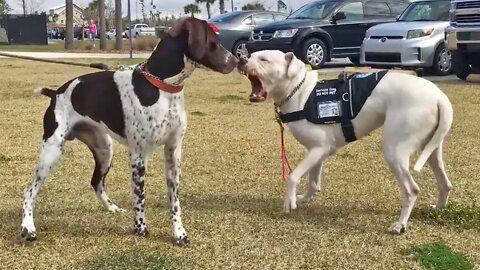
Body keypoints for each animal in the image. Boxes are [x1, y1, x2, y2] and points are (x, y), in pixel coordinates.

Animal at [21, 16, 239, 245]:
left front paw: (179, 233)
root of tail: (55, 92)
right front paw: (141, 228)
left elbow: (174, 201)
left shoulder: (173, 153)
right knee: (29, 192)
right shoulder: (139, 156)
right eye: (214, 41)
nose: (237, 61)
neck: (162, 88)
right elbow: (139, 196)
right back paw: (28, 228)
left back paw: (111, 207)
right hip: (52, 152)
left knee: (96, 182)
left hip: (105, 151)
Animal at [239, 50, 454, 234]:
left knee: (412, 190)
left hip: (394, 150)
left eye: (264, 59)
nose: (241, 58)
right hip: (432, 149)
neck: (299, 92)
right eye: (251, 55)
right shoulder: (318, 151)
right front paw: (302, 199)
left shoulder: (319, 149)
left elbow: (292, 177)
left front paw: (290, 201)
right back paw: (438, 208)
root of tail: (439, 97)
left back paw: (400, 225)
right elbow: (313, 183)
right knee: (445, 183)